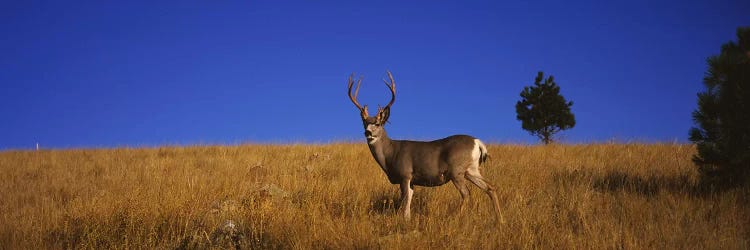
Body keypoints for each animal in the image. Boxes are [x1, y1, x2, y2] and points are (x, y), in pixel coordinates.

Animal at [352, 71, 506, 223]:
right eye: (364, 123)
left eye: (377, 124)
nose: (367, 132)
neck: (391, 153)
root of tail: (477, 142)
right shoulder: (412, 180)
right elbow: (408, 203)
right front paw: (408, 220)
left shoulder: (405, 174)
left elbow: (405, 201)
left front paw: (404, 222)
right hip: (471, 170)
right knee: (490, 187)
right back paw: (500, 220)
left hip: (456, 170)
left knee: (466, 193)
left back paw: (455, 218)